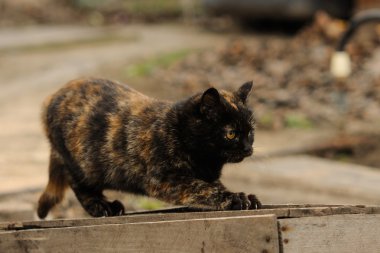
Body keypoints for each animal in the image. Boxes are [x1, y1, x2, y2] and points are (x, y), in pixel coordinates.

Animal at [37, 77, 262, 217]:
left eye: (251, 131)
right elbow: (203, 189)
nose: (247, 148)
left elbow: (213, 185)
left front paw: (246, 197)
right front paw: (235, 199)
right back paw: (103, 207)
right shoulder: (163, 180)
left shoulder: (207, 175)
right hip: (79, 164)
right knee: (80, 186)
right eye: (231, 133)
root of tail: (51, 98)